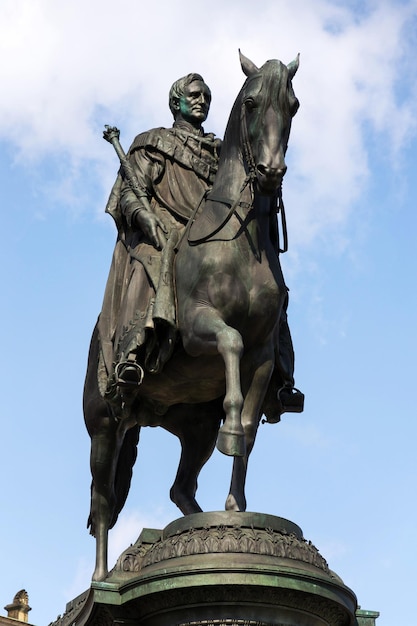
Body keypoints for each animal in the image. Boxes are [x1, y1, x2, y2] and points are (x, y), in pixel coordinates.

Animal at [83, 52, 300, 580]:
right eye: (251, 102)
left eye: (293, 105)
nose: (270, 171)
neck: (239, 240)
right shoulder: (200, 329)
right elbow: (229, 343)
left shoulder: (264, 356)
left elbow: (249, 425)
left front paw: (236, 504)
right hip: (104, 424)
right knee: (102, 502)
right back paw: (100, 579)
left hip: (192, 427)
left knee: (180, 489)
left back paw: (192, 525)